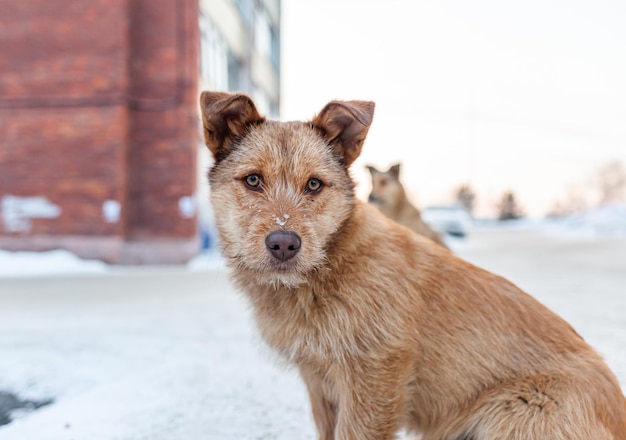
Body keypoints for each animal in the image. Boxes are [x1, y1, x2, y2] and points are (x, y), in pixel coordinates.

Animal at [197, 91, 620, 438]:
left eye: (314, 184)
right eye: (253, 180)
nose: (284, 243)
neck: (331, 266)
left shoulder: (373, 377)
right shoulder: (321, 384)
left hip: (515, 414)